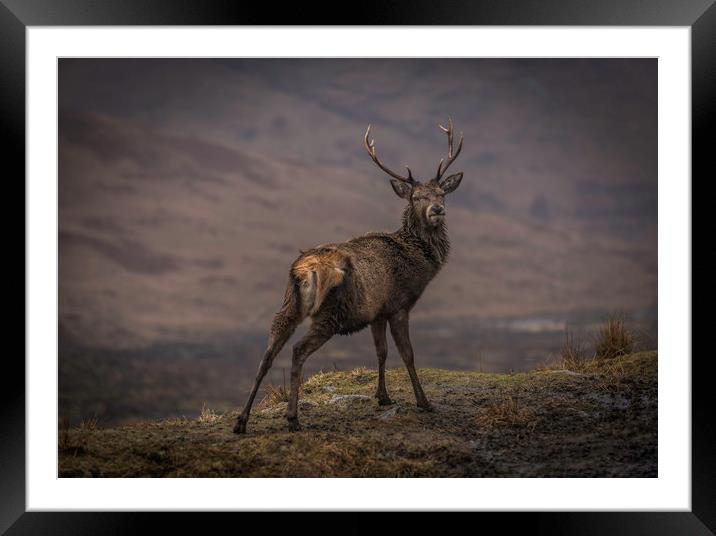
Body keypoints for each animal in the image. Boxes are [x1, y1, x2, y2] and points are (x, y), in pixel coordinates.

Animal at [235, 118, 464, 436]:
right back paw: (293, 418)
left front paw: (383, 397)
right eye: (416, 197)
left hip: (288, 305)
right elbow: (407, 353)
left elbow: (381, 352)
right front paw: (424, 402)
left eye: (442, 193)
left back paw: (241, 421)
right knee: (297, 350)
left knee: (267, 354)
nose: (437, 209)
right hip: (332, 313)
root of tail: (303, 270)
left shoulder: (377, 312)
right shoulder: (399, 304)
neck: (418, 262)